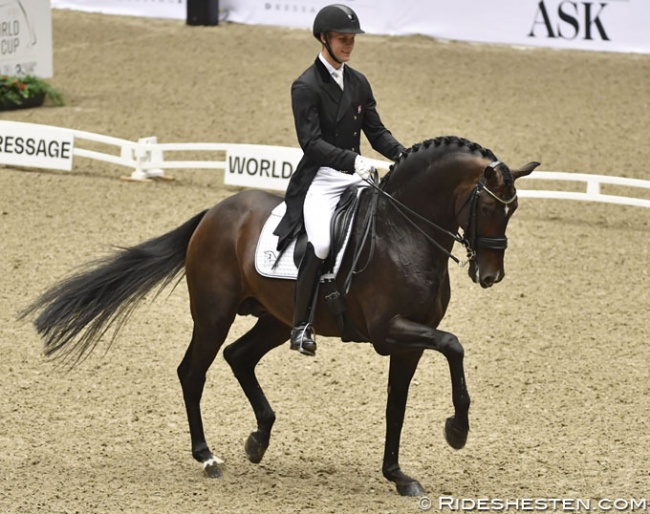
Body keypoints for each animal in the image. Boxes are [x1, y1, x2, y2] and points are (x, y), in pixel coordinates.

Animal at [20, 136, 536, 496]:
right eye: (488, 205)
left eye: (513, 210)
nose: (490, 275)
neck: (402, 232)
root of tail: (216, 211)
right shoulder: (390, 332)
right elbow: (454, 345)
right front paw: (457, 432)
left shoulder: (407, 343)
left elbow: (398, 404)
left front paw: (398, 474)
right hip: (214, 315)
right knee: (193, 371)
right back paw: (208, 457)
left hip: (274, 318)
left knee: (239, 357)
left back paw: (258, 439)